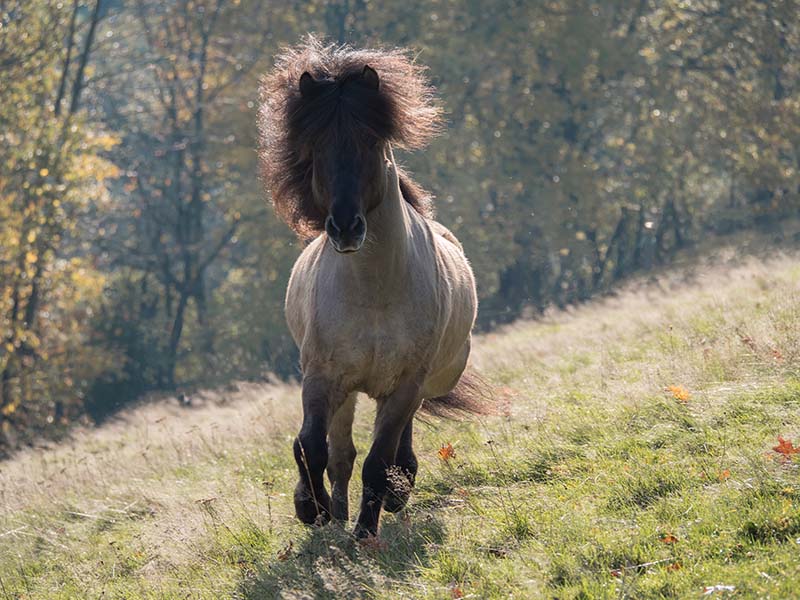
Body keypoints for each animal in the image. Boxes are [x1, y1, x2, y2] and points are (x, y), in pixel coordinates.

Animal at [260, 38, 484, 540]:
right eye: (315, 146)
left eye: (371, 141)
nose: (345, 228)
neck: (373, 292)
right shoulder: (322, 377)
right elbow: (311, 447)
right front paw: (313, 510)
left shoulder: (404, 386)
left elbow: (378, 463)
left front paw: (366, 532)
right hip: (346, 392)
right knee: (339, 455)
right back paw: (335, 512)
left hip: (408, 388)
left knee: (388, 449)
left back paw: (391, 496)